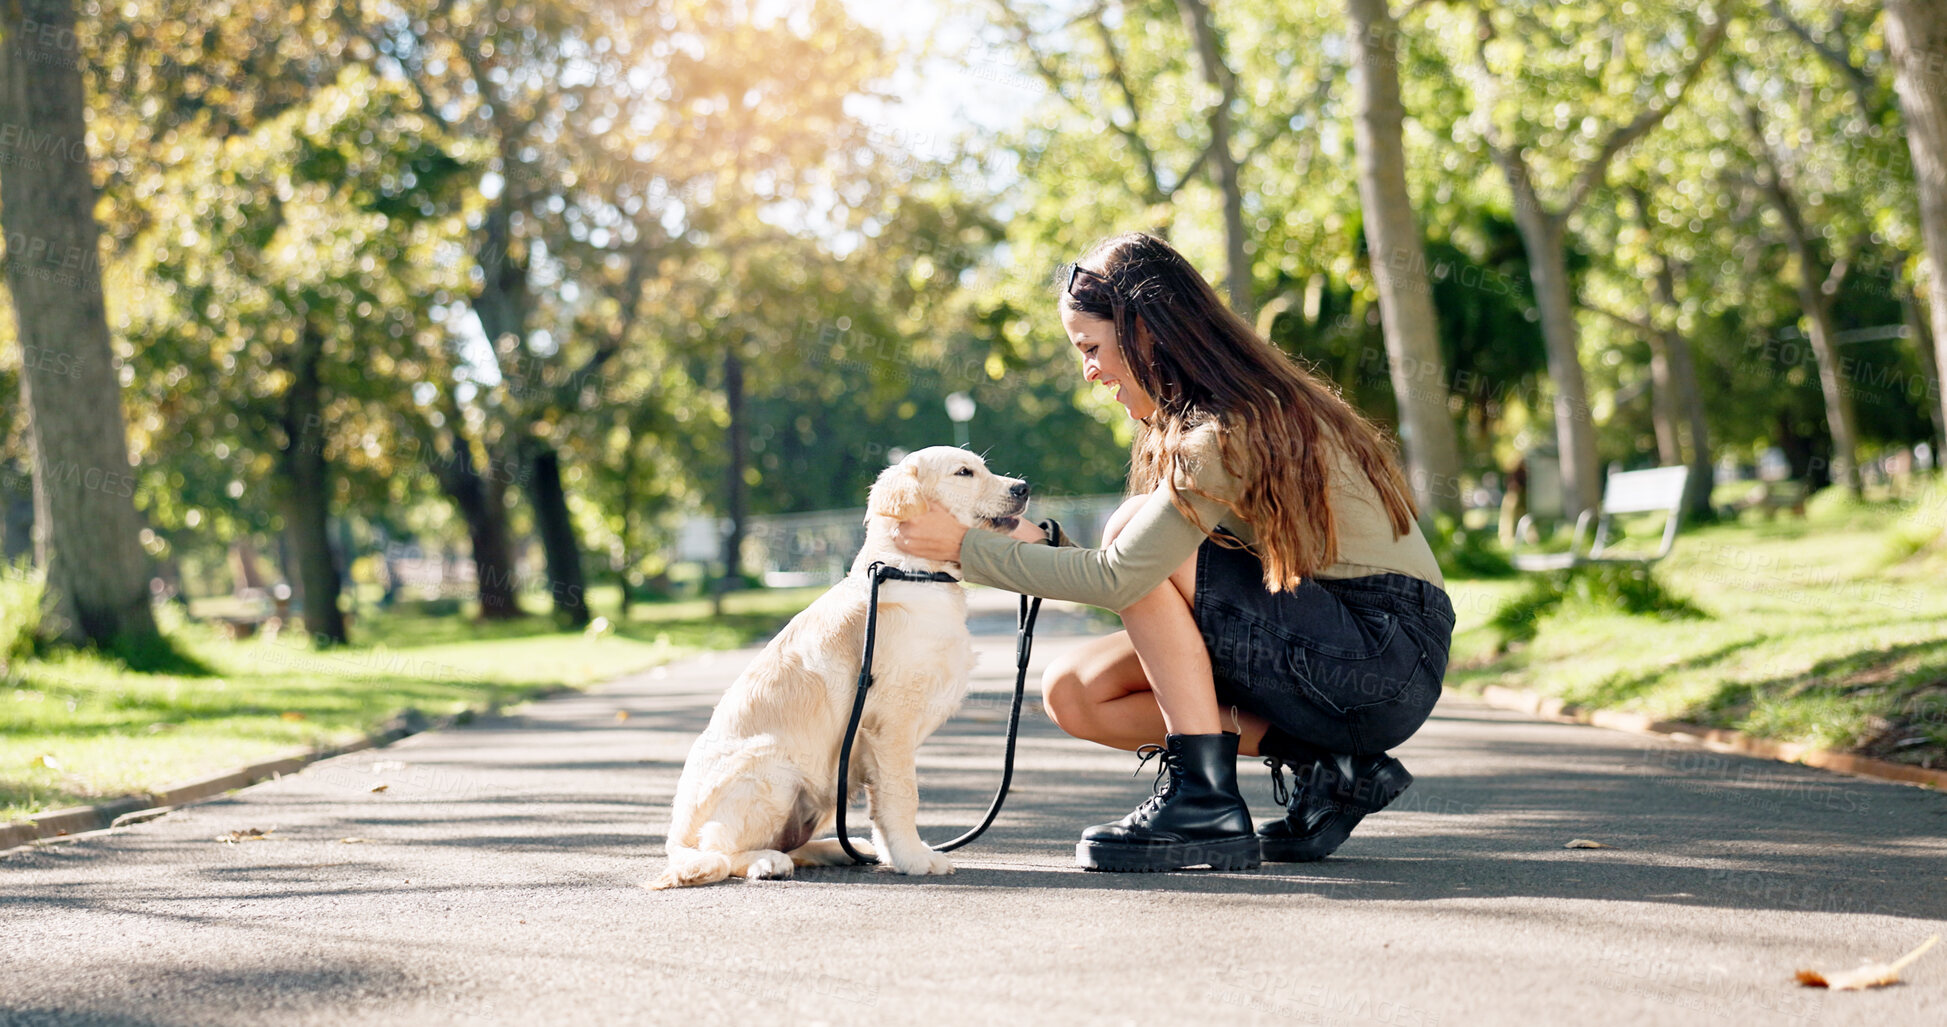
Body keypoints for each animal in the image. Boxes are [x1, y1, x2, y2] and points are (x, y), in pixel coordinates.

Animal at [646, 446, 1028, 888]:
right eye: (964, 473)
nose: (1023, 487)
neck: (912, 572)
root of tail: (675, 842)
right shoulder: (890, 723)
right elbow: (904, 794)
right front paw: (916, 859)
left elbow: (885, 804)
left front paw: (898, 854)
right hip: (773, 769)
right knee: (722, 851)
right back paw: (767, 861)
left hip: (827, 787)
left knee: (792, 842)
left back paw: (842, 849)